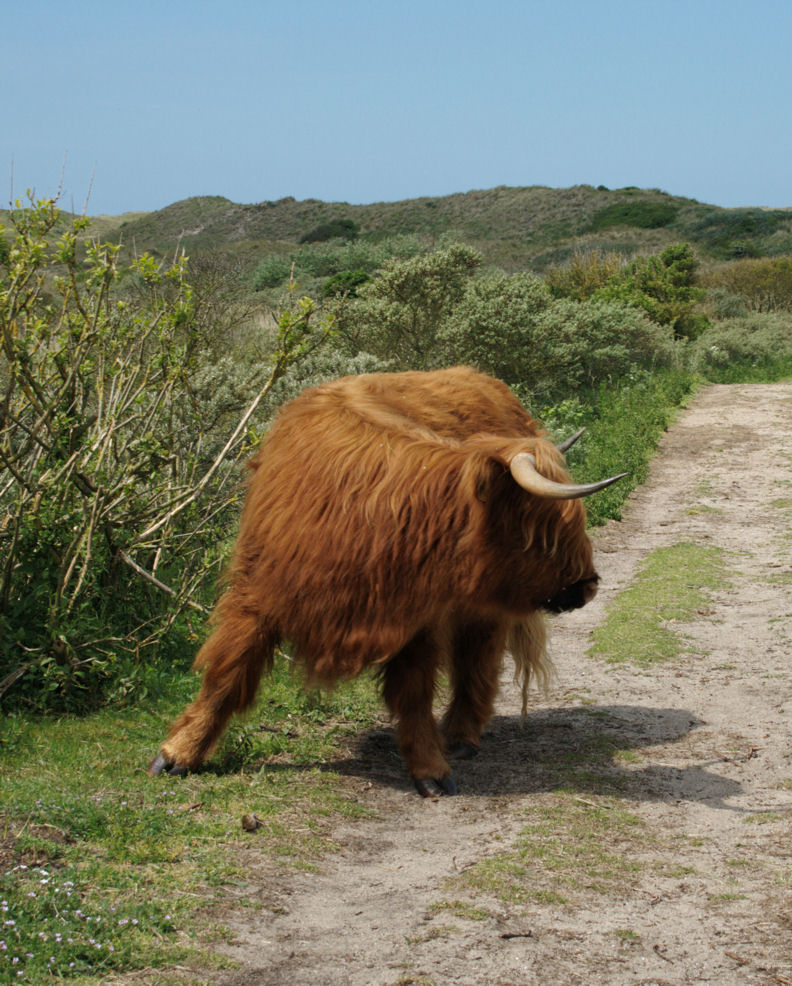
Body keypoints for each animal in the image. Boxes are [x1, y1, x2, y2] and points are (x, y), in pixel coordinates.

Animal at [147, 366, 620, 796]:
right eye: (545, 531)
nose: (589, 585)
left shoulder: (417, 622)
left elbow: (414, 694)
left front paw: (431, 771)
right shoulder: (255, 595)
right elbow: (225, 675)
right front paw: (178, 753)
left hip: (484, 611)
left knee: (477, 664)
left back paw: (461, 737)